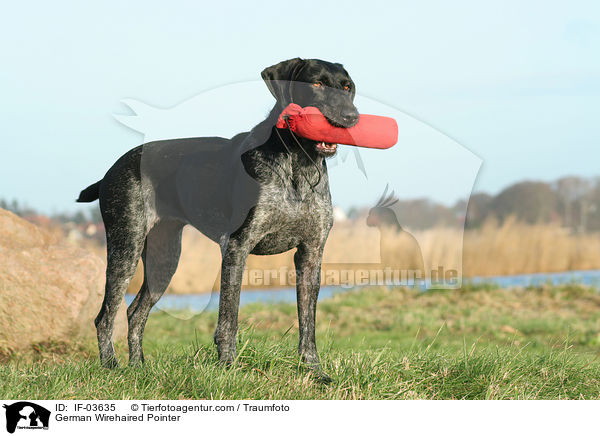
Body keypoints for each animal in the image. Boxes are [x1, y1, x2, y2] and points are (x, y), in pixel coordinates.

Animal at [78, 58, 360, 382]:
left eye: (347, 87)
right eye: (316, 84)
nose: (351, 117)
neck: (299, 166)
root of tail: (109, 172)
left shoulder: (311, 254)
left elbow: (308, 325)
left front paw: (315, 372)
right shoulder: (237, 246)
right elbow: (229, 317)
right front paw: (228, 366)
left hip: (164, 260)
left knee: (135, 313)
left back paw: (138, 368)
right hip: (126, 247)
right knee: (105, 317)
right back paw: (111, 368)